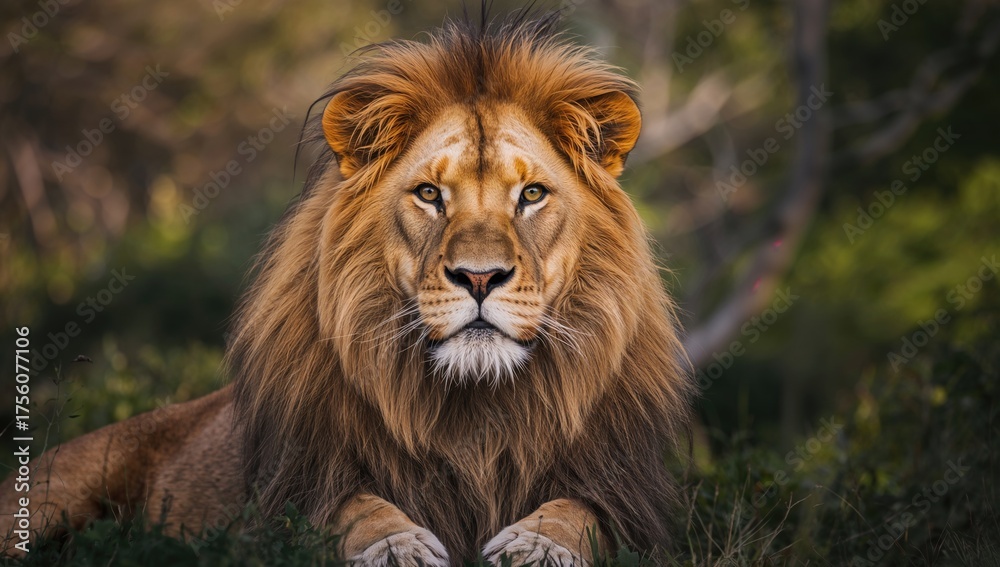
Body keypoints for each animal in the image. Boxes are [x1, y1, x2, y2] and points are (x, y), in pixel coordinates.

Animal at [0, 13, 694, 566]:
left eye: (531, 195)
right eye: (428, 194)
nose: (478, 277)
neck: (474, 408)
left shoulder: (624, 494)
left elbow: (580, 512)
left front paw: (538, 546)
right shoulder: (291, 489)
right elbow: (351, 507)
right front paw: (396, 547)